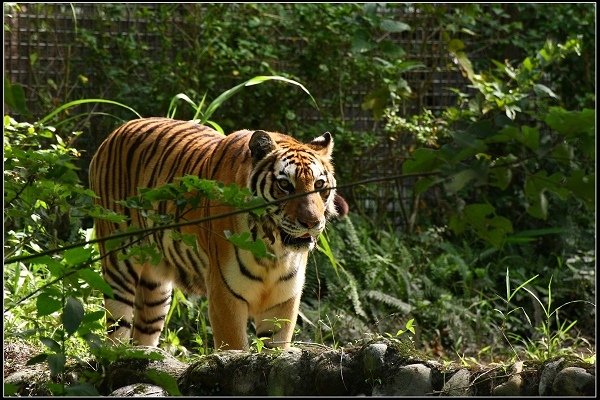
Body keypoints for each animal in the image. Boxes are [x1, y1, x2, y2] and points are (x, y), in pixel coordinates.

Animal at [86, 116, 344, 350]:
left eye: (319, 185)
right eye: (285, 185)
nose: (312, 222)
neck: (273, 250)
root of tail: (115, 131)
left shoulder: (283, 301)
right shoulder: (225, 295)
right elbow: (235, 349)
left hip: (155, 287)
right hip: (119, 264)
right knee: (115, 331)